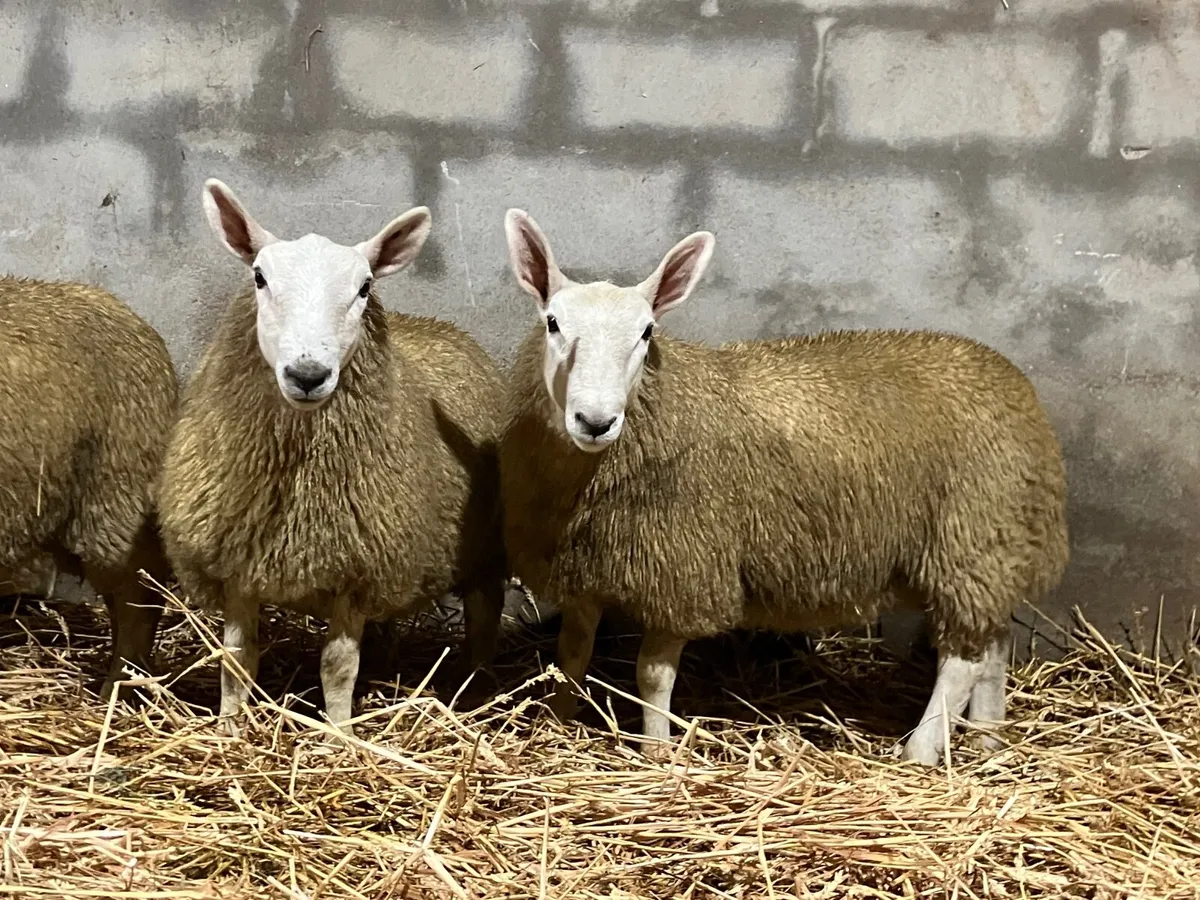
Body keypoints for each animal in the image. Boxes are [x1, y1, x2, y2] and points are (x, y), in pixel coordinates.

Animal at [157, 180, 507, 736]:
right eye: (259, 277)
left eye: (364, 288)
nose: (307, 374)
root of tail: (437, 325)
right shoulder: (239, 569)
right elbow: (237, 659)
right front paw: (230, 729)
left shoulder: (355, 577)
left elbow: (337, 668)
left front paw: (340, 734)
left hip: (483, 551)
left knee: (483, 615)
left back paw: (476, 687)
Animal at [497, 210, 1070, 766]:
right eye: (552, 323)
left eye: (646, 333)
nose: (595, 422)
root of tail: (1016, 386)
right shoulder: (586, 565)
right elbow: (572, 653)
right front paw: (557, 720)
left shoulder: (688, 572)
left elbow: (652, 676)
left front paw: (657, 752)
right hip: (994, 550)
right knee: (992, 646)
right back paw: (987, 741)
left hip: (970, 538)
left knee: (962, 660)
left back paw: (922, 752)